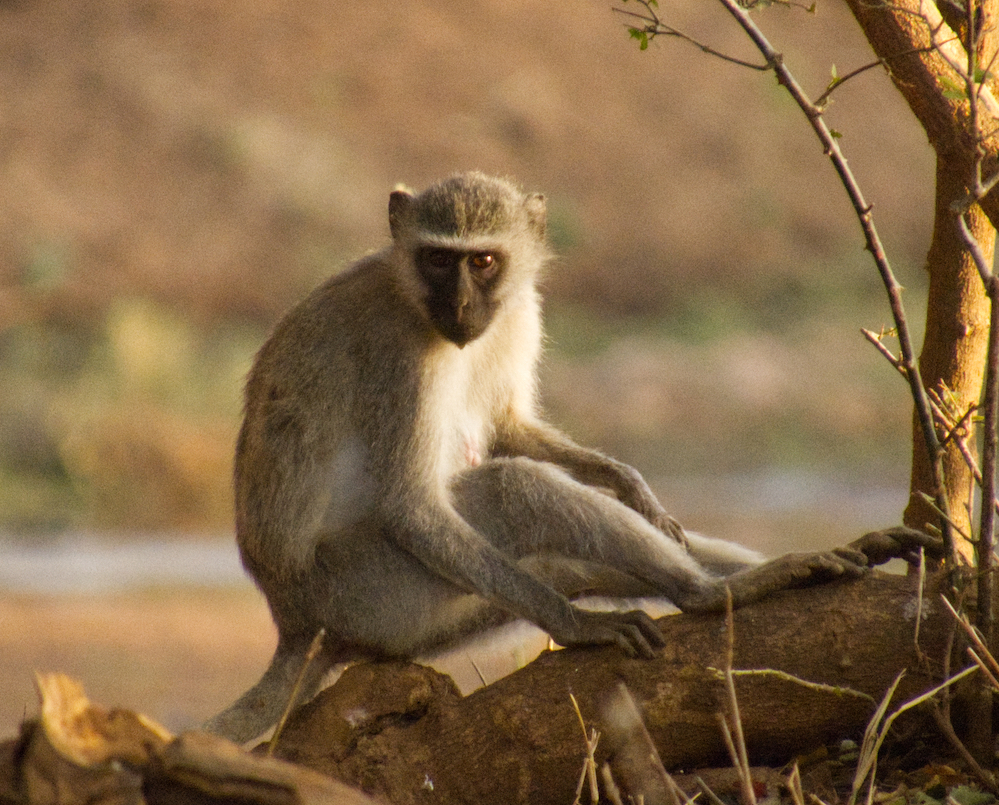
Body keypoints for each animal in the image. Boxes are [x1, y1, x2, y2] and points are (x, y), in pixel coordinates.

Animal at [205, 174, 944, 740]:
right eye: (439, 260)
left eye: (482, 262)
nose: (461, 304)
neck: (417, 299)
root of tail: (293, 620)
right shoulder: (400, 356)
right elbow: (412, 506)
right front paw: (577, 627)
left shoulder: (516, 312)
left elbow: (509, 427)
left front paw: (627, 480)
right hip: (371, 590)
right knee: (512, 493)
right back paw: (705, 594)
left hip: (425, 617)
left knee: (566, 556)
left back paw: (794, 565)